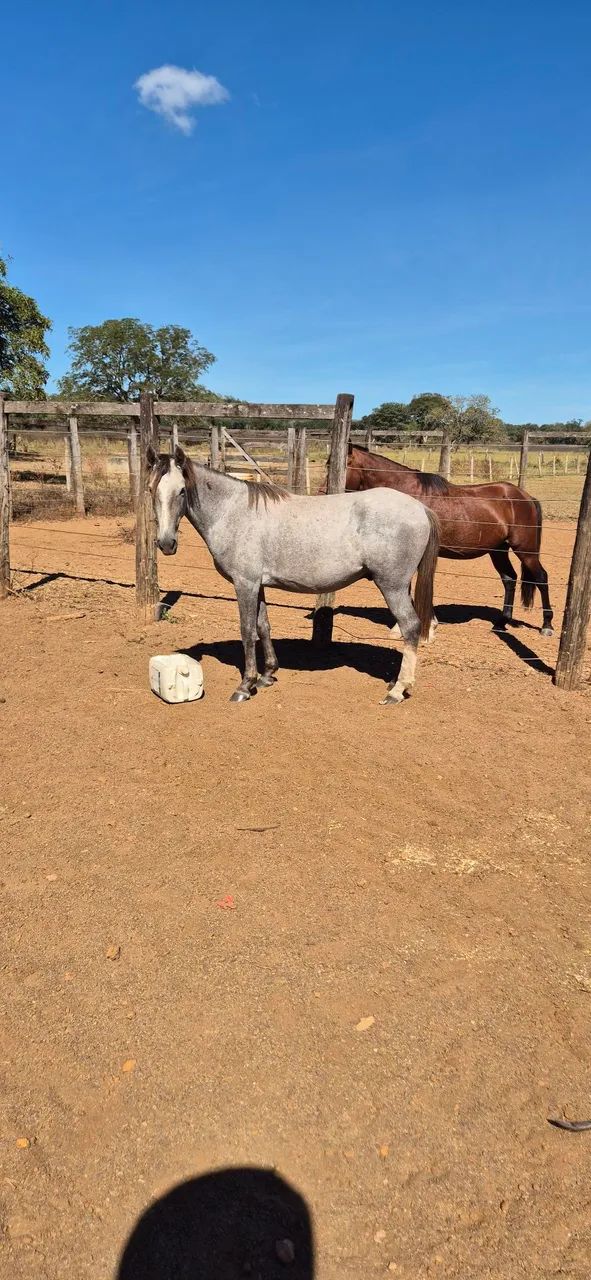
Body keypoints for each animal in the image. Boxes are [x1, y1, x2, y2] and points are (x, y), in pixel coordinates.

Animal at [147, 445, 439, 706]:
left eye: (181, 490)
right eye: (151, 489)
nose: (166, 543)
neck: (233, 512)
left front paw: (245, 685)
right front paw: (267, 675)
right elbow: (263, 626)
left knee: (410, 627)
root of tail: (420, 508)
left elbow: (247, 630)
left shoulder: (244, 584)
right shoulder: (258, 585)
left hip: (392, 586)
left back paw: (397, 690)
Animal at [324, 444, 553, 636]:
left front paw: (403, 627)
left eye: (336, 466)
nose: (323, 492)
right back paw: (500, 623)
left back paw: (547, 626)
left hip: (525, 550)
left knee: (541, 577)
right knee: (509, 579)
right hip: (498, 551)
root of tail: (526, 497)